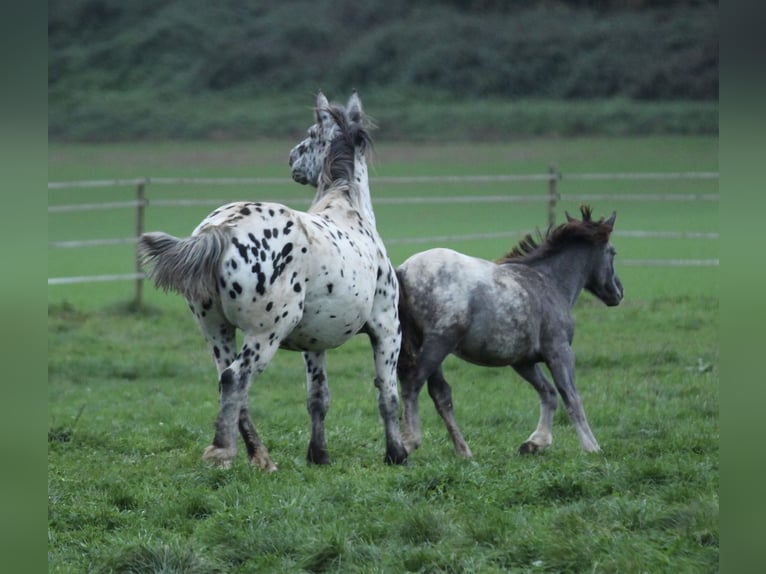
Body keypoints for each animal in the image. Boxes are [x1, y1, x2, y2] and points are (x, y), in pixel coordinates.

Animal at [137, 91, 408, 472]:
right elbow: (388, 394)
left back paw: (260, 457)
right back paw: (223, 451)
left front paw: (319, 455)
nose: (291, 157)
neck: (348, 208)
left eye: (309, 135)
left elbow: (318, 398)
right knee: (236, 378)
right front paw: (397, 454)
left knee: (229, 382)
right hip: (265, 333)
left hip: (216, 330)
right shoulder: (387, 328)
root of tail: (221, 229)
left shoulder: (314, 343)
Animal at [400, 207, 628, 460]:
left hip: (427, 347)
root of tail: (404, 271)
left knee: (440, 394)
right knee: (412, 382)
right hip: (438, 344)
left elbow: (548, 393)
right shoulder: (559, 351)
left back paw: (463, 451)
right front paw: (591, 447)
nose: (619, 293)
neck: (548, 282)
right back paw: (407, 443)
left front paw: (535, 443)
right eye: (612, 252)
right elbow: (570, 396)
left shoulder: (522, 361)